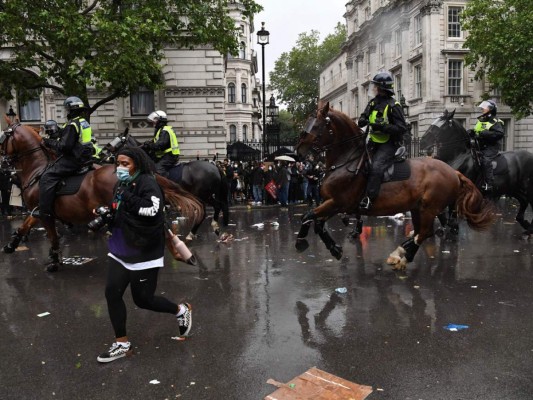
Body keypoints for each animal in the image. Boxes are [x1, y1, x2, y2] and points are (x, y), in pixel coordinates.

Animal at [0, 118, 204, 272]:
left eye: (3, 136)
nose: (3, 162)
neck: (38, 169)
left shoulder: (45, 212)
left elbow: (53, 236)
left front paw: (54, 261)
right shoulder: (37, 211)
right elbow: (24, 226)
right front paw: (11, 245)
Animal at [296, 102, 494, 272]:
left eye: (317, 125)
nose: (299, 151)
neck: (347, 161)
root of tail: (453, 171)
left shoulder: (338, 202)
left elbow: (308, 216)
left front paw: (302, 242)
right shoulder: (334, 203)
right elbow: (316, 222)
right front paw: (334, 247)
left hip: (429, 207)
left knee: (425, 232)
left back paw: (404, 256)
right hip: (418, 208)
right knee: (425, 231)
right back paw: (402, 250)